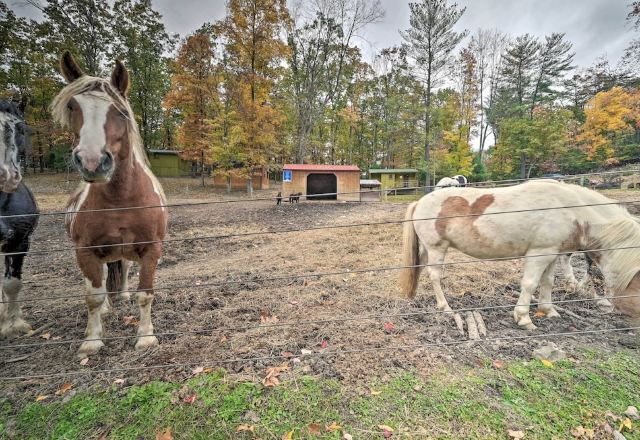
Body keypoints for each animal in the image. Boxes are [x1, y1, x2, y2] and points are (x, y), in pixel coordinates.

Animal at [52, 51, 166, 358]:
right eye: (72, 106)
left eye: (121, 111)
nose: (92, 162)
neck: (119, 201)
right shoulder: (84, 250)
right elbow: (92, 296)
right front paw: (92, 340)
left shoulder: (152, 247)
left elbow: (145, 293)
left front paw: (146, 337)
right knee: (99, 281)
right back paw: (105, 311)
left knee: (121, 269)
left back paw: (121, 296)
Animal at [400, 180, 640, 330]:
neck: (571, 209)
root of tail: (420, 201)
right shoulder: (538, 254)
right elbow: (530, 284)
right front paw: (524, 318)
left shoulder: (552, 253)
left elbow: (548, 282)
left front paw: (548, 310)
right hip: (437, 248)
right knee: (435, 277)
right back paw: (446, 308)